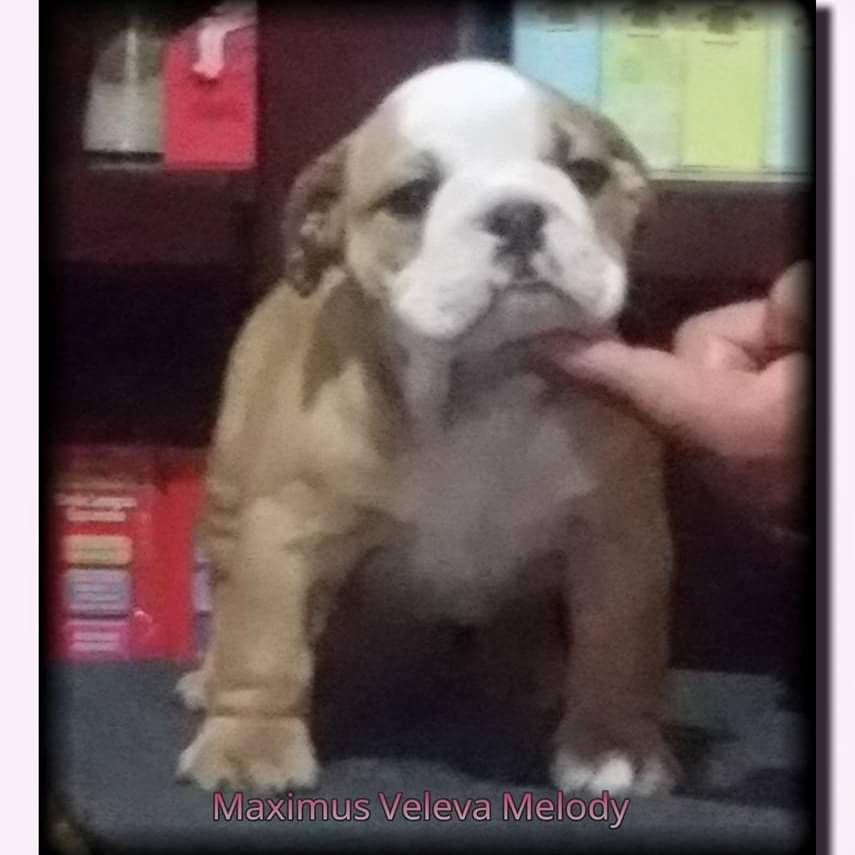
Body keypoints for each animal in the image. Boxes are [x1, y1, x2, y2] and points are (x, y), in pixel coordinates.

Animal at [176, 59, 677, 797]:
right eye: (412, 196)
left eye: (583, 173)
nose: (517, 212)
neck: (479, 382)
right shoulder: (283, 535)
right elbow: (265, 645)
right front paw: (251, 743)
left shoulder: (618, 540)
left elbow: (618, 649)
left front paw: (613, 745)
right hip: (229, 504)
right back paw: (209, 680)